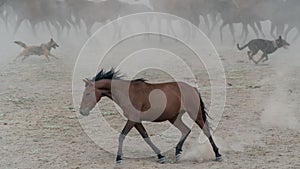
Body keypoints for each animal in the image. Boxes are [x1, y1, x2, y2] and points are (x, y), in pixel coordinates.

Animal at [78, 68, 221, 164]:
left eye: (88, 94)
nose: (82, 111)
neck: (127, 93)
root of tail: (193, 88)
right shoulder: (136, 121)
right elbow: (145, 136)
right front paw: (160, 156)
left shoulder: (132, 119)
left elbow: (122, 136)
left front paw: (118, 158)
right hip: (174, 118)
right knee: (186, 130)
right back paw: (177, 153)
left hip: (195, 114)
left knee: (206, 131)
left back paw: (217, 154)